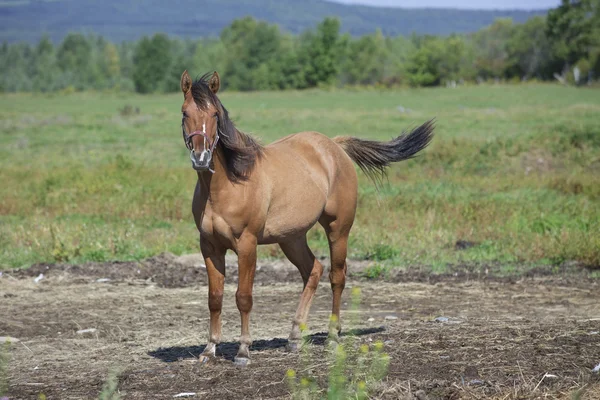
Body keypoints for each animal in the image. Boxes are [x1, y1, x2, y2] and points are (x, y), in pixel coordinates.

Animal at [179, 69, 436, 366]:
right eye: (185, 112)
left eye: (215, 114)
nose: (201, 157)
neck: (228, 185)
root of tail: (335, 146)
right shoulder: (209, 247)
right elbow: (215, 298)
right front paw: (209, 349)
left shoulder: (247, 245)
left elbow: (244, 297)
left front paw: (243, 351)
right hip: (292, 238)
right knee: (313, 270)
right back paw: (294, 337)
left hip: (338, 229)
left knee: (337, 277)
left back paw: (332, 336)